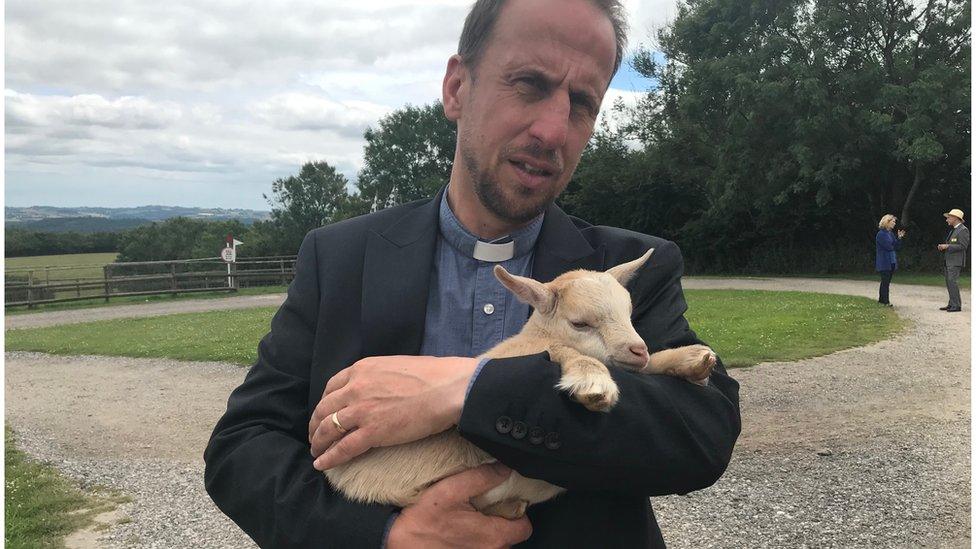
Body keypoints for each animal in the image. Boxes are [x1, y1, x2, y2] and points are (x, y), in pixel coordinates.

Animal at [324, 248, 712, 520]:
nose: (638, 349)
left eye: (630, 314)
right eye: (580, 323)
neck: (534, 338)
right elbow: (566, 354)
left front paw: (692, 360)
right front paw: (592, 383)